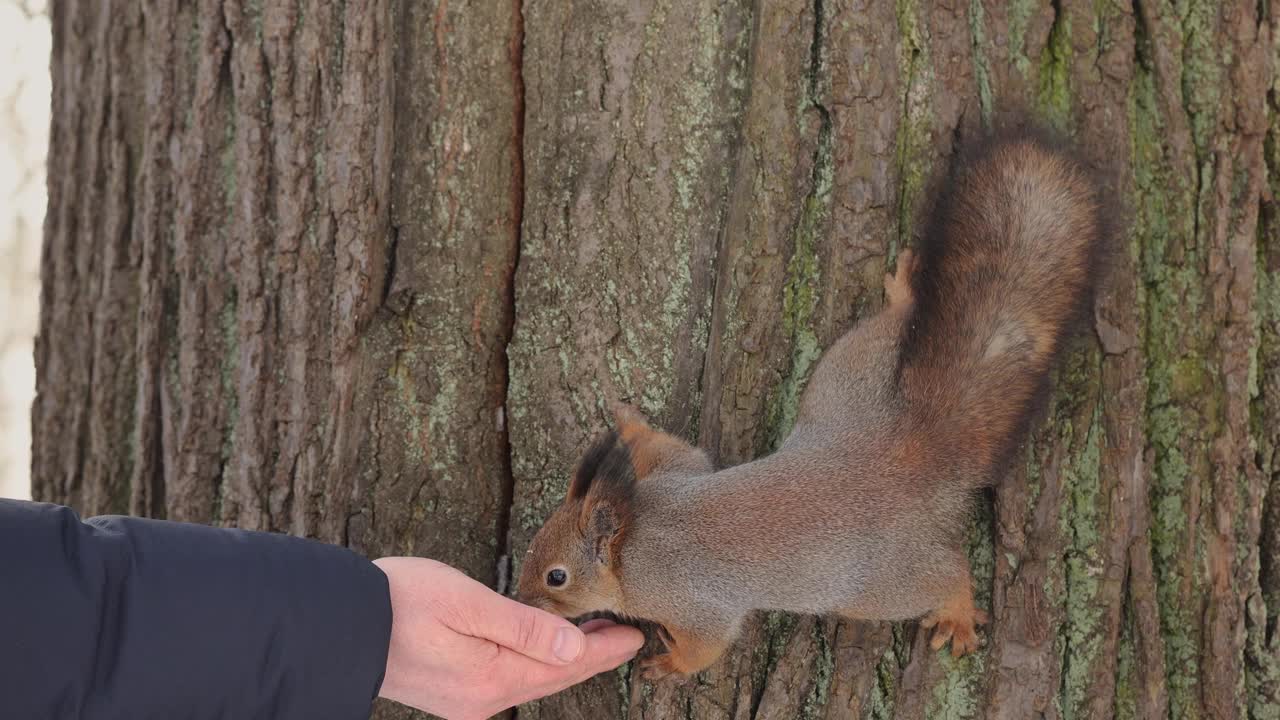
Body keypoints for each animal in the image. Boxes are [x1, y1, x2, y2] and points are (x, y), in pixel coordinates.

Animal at [514, 128, 1105, 676]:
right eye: (534, 542)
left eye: (556, 576)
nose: (522, 600)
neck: (634, 538)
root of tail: (907, 453)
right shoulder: (677, 474)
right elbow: (680, 450)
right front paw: (627, 423)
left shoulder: (690, 600)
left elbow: (707, 643)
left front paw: (670, 666)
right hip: (850, 377)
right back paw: (904, 295)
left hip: (879, 583)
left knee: (943, 574)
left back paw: (958, 612)